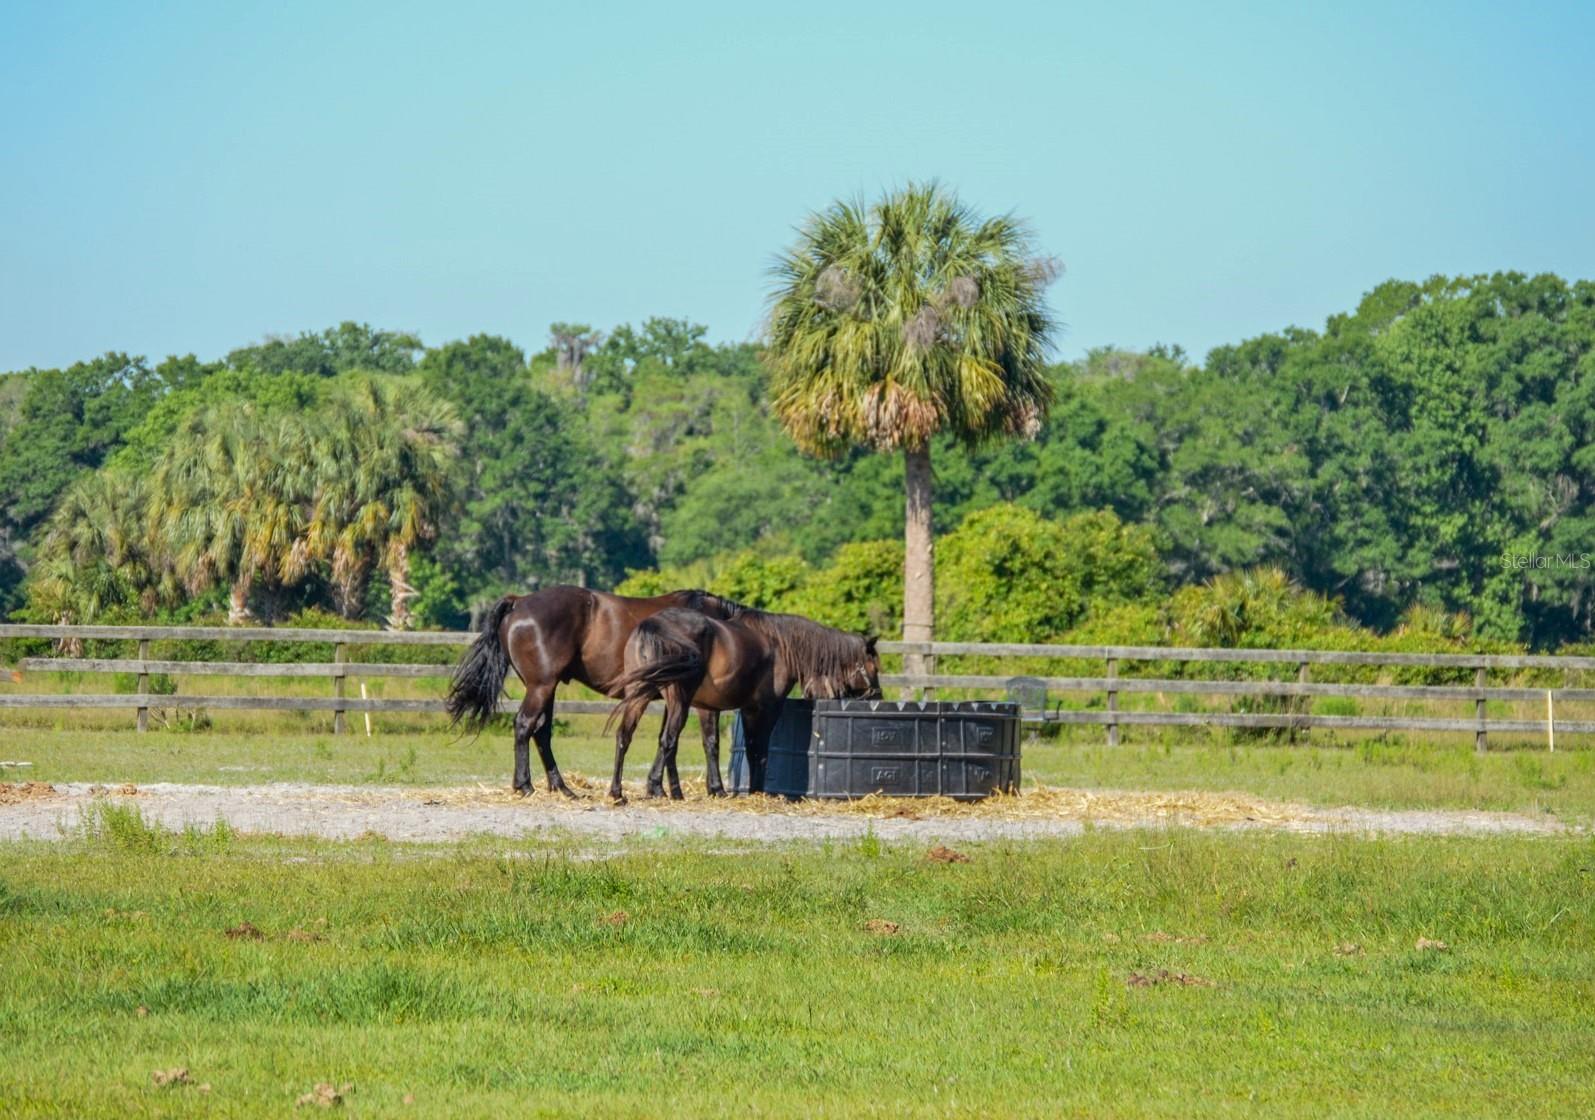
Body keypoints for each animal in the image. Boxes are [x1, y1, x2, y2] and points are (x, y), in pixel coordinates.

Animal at [446, 587, 743, 797]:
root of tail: (519, 601)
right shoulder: (700, 702)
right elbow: (710, 741)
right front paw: (716, 789)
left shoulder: (674, 697)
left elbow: (671, 741)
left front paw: (672, 790)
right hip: (541, 687)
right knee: (524, 725)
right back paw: (525, 785)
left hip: (546, 688)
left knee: (541, 732)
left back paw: (562, 787)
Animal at [602, 609, 880, 804]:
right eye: (874, 667)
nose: (877, 695)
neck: (780, 645)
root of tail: (653, 626)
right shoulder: (763, 709)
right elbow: (758, 749)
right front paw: (757, 789)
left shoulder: (712, 708)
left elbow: (713, 745)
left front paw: (717, 789)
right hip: (676, 700)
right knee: (667, 740)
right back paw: (655, 788)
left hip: (641, 696)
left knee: (625, 736)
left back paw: (619, 792)